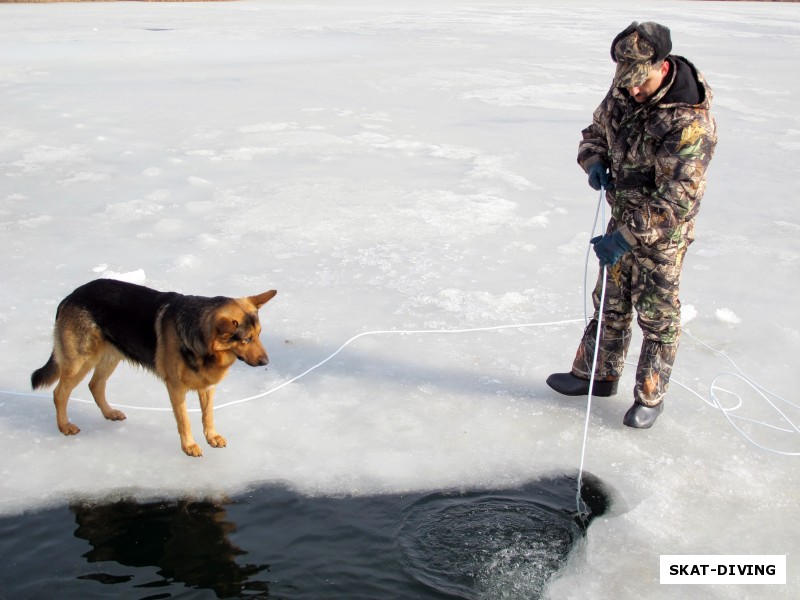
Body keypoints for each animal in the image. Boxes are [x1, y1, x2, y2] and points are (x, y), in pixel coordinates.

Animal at [32, 278, 278, 458]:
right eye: (246, 339)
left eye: (259, 335)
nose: (267, 362)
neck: (199, 336)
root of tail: (70, 296)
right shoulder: (175, 387)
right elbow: (185, 420)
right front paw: (189, 445)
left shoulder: (207, 387)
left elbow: (208, 415)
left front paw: (212, 437)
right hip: (80, 362)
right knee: (60, 393)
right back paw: (64, 426)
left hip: (111, 356)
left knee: (95, 385)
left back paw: (109, 413)